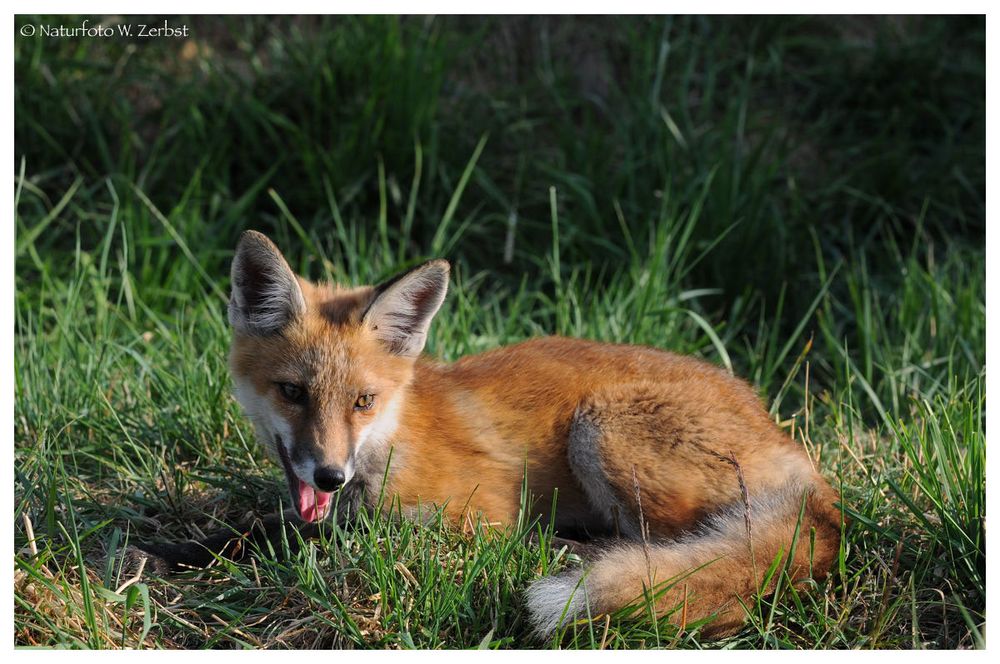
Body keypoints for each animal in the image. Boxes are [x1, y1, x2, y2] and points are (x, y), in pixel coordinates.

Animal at [143, 231, 844, 640]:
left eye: (363, 401)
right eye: (293, 392)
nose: (329, 476)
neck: (389, 445)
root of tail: (804, 465)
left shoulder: (471, 515)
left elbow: (309, 543)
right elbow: (257, 530)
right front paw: (178, 548)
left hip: (601, 430)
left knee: (675, 551)